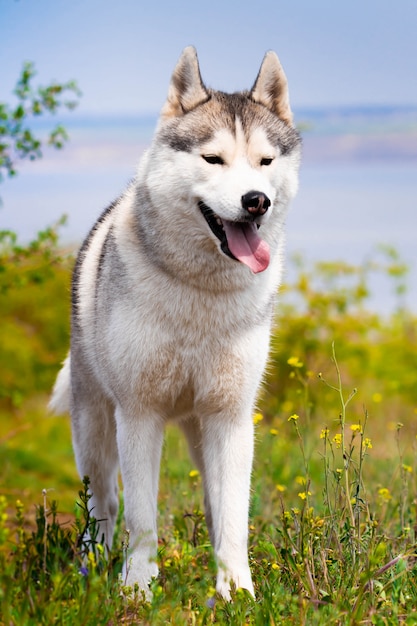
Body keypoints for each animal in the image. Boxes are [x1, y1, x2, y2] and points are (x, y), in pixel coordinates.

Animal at [50, 46, 300, 596]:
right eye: (213, 159)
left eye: (265, 162)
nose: (256, 201)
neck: (199, 293)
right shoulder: (139, 413)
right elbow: (141, 517)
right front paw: (137, 589)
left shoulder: (231, 417)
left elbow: (233, 518)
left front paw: (238, 593)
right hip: (95, 429)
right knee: (102, 505)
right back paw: (91, 567)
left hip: (201, 430)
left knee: (212, 503)